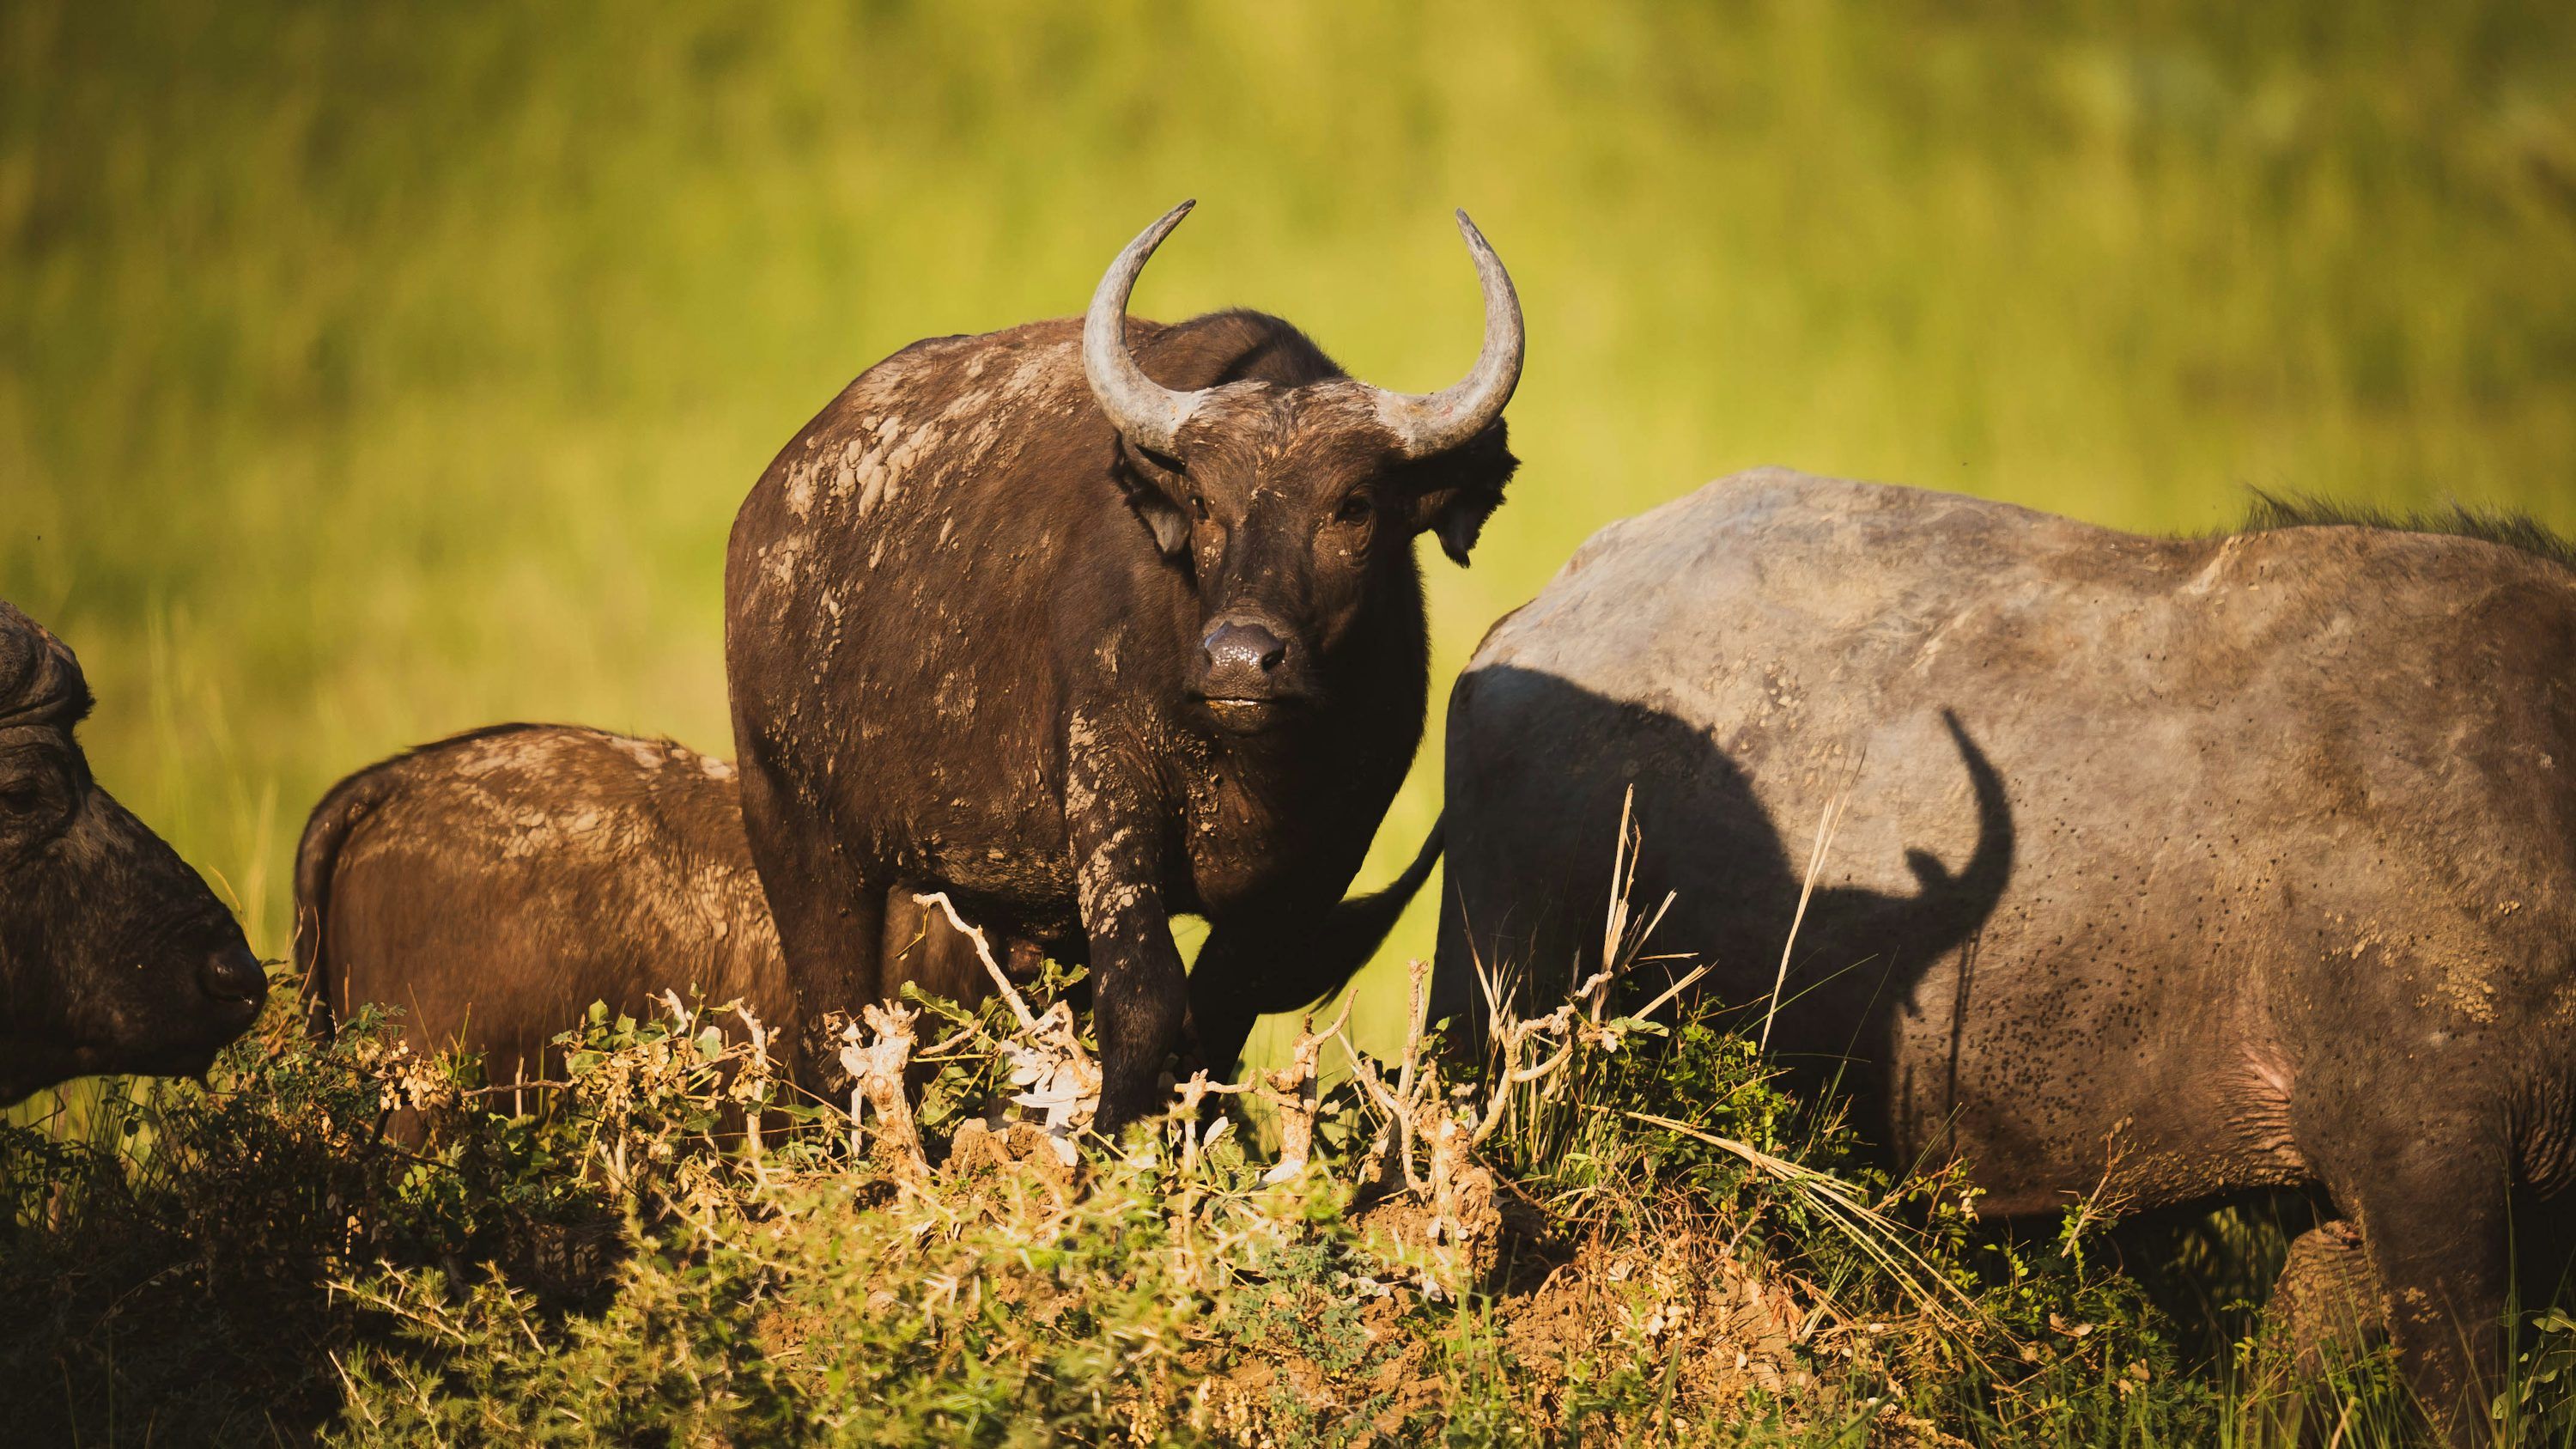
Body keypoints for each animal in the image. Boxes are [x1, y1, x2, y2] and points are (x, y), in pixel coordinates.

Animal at [726, 202, 1506, 1128]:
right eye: (1203, 502)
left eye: (1353, 506)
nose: (1241, 659)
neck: (1253, 764)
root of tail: (767, 509)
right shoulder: (1111, 788)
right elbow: (1143, 995)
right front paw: (1113, 1136)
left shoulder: (1322, 861)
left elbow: (1219, 1013)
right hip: (800, 836)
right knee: (833, 1028)